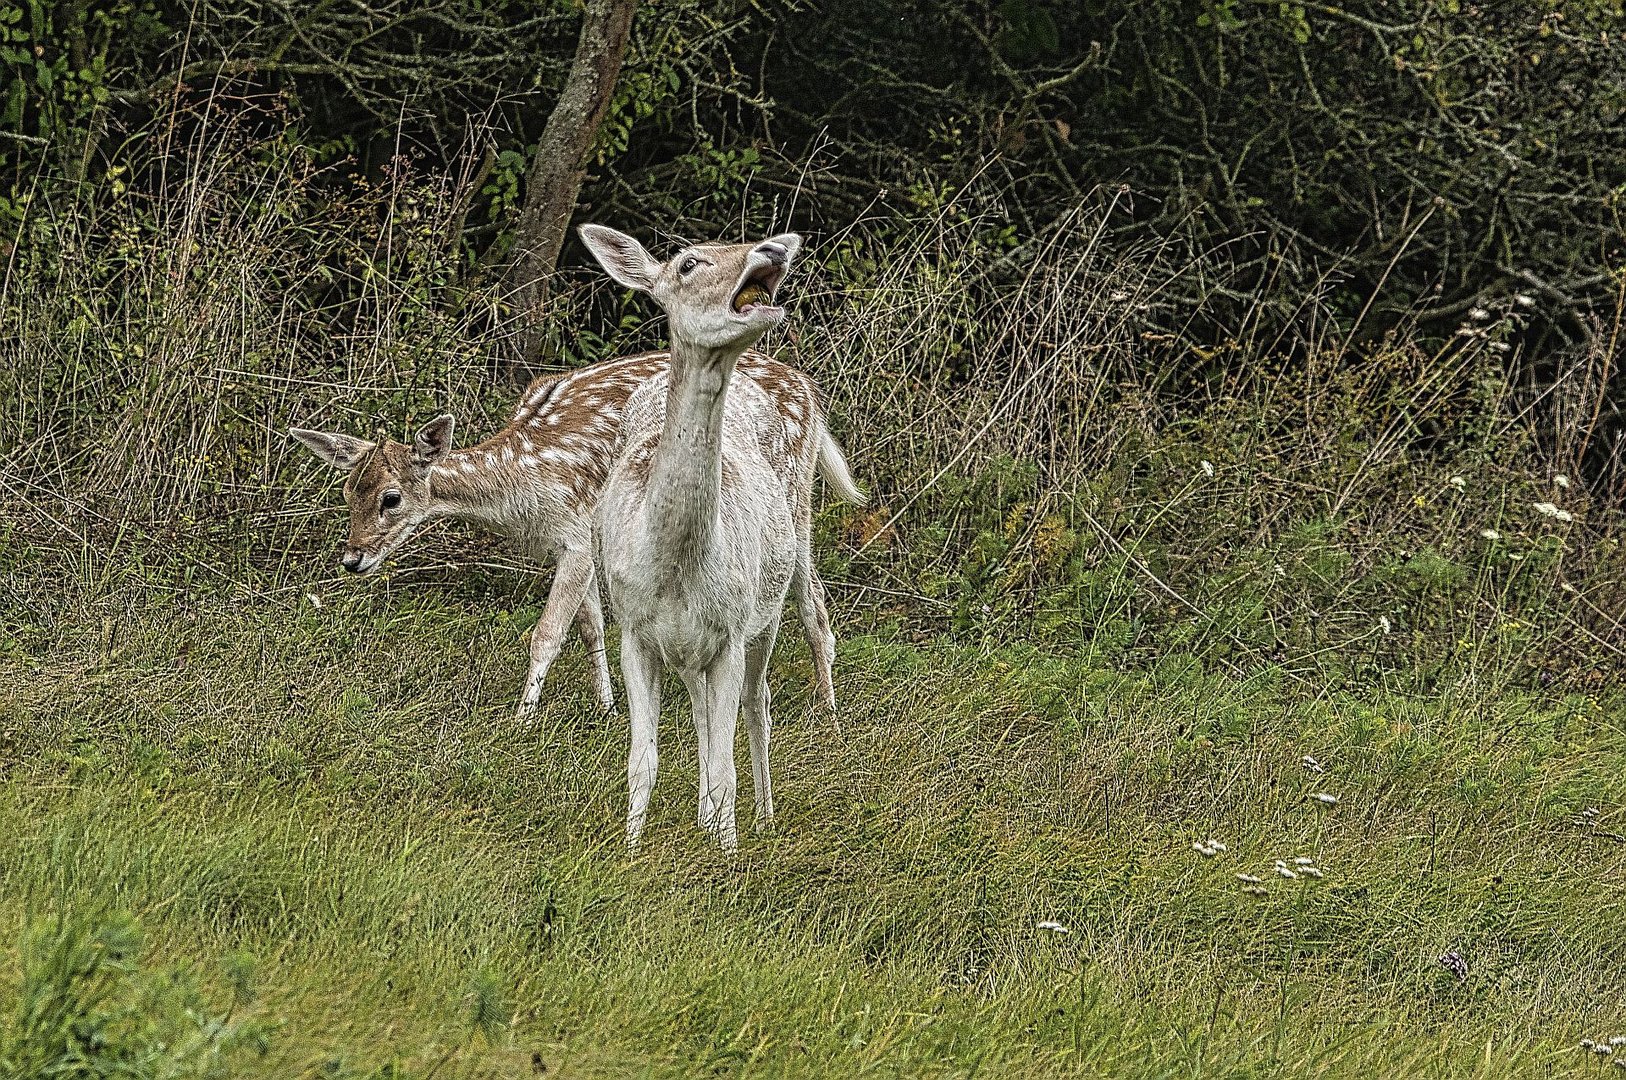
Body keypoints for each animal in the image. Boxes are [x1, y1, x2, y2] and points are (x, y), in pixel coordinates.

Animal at [289, 346, 865, 715]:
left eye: (391, 498)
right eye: (346, 493)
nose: (352, 558)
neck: (524, 483)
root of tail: (811, 395)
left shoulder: (576, 531)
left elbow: (546, 632)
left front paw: (523, 716)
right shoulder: (573, 543)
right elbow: (590, 625)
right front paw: (608, 705)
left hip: (792, 494)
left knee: (811, 596)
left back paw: (828, 709)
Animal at [582, 226, 865, 852]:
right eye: (688, 264)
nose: (776, 249)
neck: (673, 564)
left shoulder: (732, 632)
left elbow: (722, 763)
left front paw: (726, 853)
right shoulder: (634, 631)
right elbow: (644, 759)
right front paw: (631, 850)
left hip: (789, 549)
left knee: (774, 683)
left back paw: (766, 809)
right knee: (704, 716)